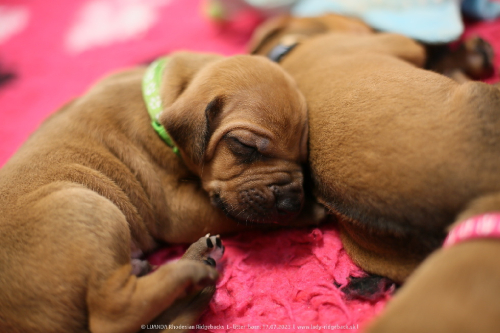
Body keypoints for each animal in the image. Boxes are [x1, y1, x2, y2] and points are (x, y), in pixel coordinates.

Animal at [0, 51, 312, 332]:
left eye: (303, 156)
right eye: (244, 146)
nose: (290, 202)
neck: (162, 98)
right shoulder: (177, 209)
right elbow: (237, 216)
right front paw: (310, 210)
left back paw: (194, 265)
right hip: (85, 207)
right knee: (114, 314)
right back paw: (191, 271)